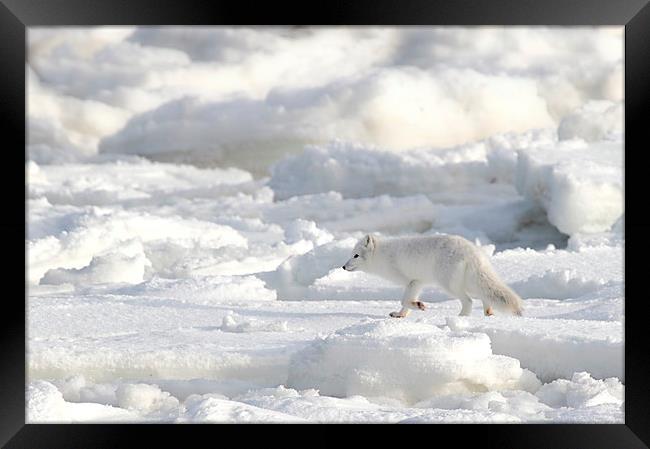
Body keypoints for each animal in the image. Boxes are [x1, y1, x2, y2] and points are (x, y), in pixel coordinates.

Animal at [342, 233, 524, 316]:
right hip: (469, 282)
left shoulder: (414, 281)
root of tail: (472, 252)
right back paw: (488, 312)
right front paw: (400, 315)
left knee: (469, 301)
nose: (343, 266)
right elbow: (405, 302)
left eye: (356, 256)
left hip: (449, 285)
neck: (382, 256)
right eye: (351, 255)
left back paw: (460, 318)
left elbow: (405, 300)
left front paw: (419, 306)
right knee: (484, 296)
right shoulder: (417, 283)